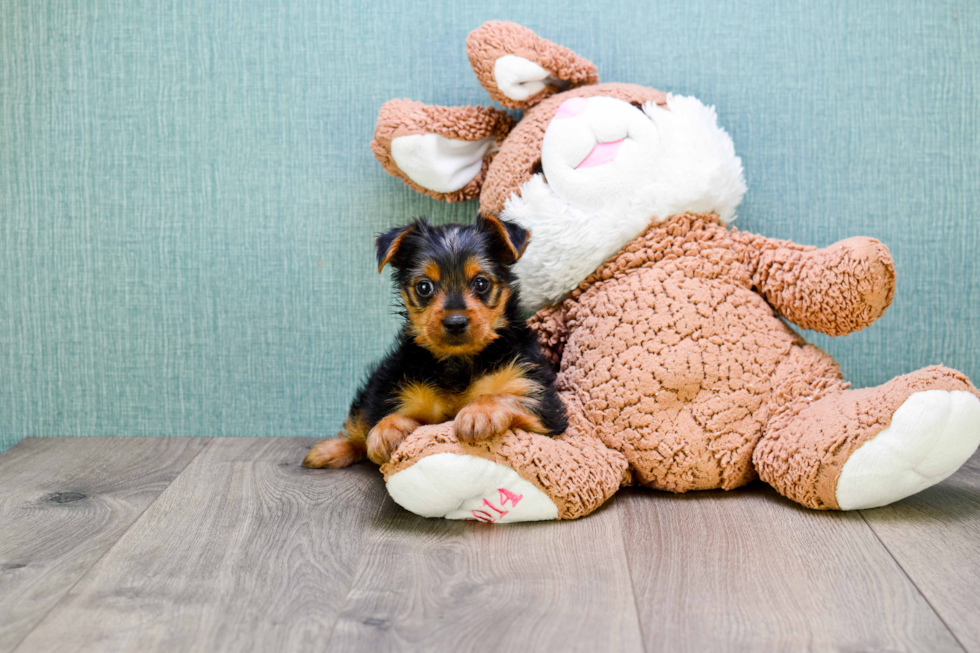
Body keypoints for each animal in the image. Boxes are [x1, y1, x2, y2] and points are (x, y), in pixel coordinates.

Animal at [304, 215, 568, 468]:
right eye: (424, 287)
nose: (455, 322)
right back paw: (327, 452)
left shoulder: (543, 404)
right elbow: (383, 418)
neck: (457, 360)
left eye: (481, 283)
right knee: (361, 422)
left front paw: (479, 412)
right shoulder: (404, 392)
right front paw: (387, 429)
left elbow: (504, 396)